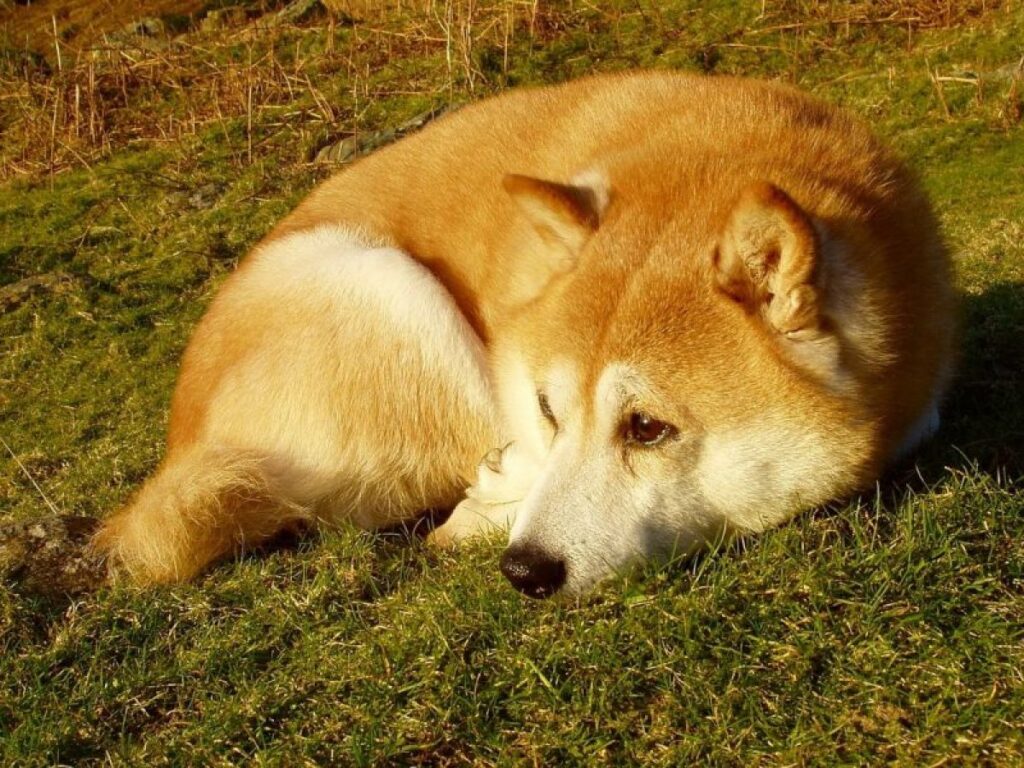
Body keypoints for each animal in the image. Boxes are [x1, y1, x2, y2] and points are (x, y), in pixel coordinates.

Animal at [92, 70, 954, 602]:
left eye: (648, 427)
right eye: (550, 409)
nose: (525, 571)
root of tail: (180, 447)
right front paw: (500, 495)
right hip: (392, 290)